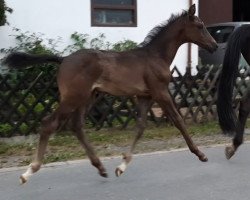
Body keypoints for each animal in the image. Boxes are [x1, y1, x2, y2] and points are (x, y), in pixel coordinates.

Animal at [2, 3, 217, 184]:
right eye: (200, 26)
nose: (214, 46)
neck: (156, 56)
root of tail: (63, 59)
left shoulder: (145, 96)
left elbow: (141, 127)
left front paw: (121, 166)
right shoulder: (160, 92)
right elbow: (178, 120)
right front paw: (201, 154)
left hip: (88, 97)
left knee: (76, 126)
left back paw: (100, 167)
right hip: (74, 97)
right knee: (49, 123)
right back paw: (29, 172)